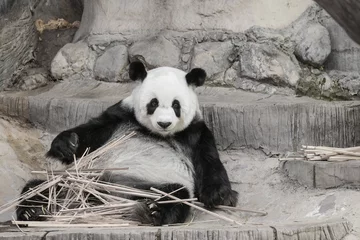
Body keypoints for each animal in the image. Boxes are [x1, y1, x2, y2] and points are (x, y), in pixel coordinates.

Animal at [16, 61, 239, 226]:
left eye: (176, 105)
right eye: (153, 103)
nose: (164, 123)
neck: (158, 134)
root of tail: (102, 197)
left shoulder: (195, 132)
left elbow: (209, 160)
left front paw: (221, 196)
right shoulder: (121, 116)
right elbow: (91, 134)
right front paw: (66, 144)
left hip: (149, 184)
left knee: (176, 195)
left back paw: (153, 211)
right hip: (78, 180)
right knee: (41, 187)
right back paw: (32, 210)